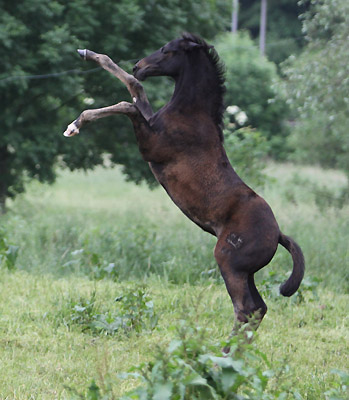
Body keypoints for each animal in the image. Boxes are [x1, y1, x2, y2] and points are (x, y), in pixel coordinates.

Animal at [64, 33, 304, 328]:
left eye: (167, 51)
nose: (138, 66)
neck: (190, 114)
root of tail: (278, 234)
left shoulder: (151, 146)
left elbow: (128, 105)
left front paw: (75, 124)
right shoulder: (150, 120)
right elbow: (136, 89)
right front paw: (87, 53)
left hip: (230, 263)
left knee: (245, 308)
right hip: (248, 272)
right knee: (258, 309)